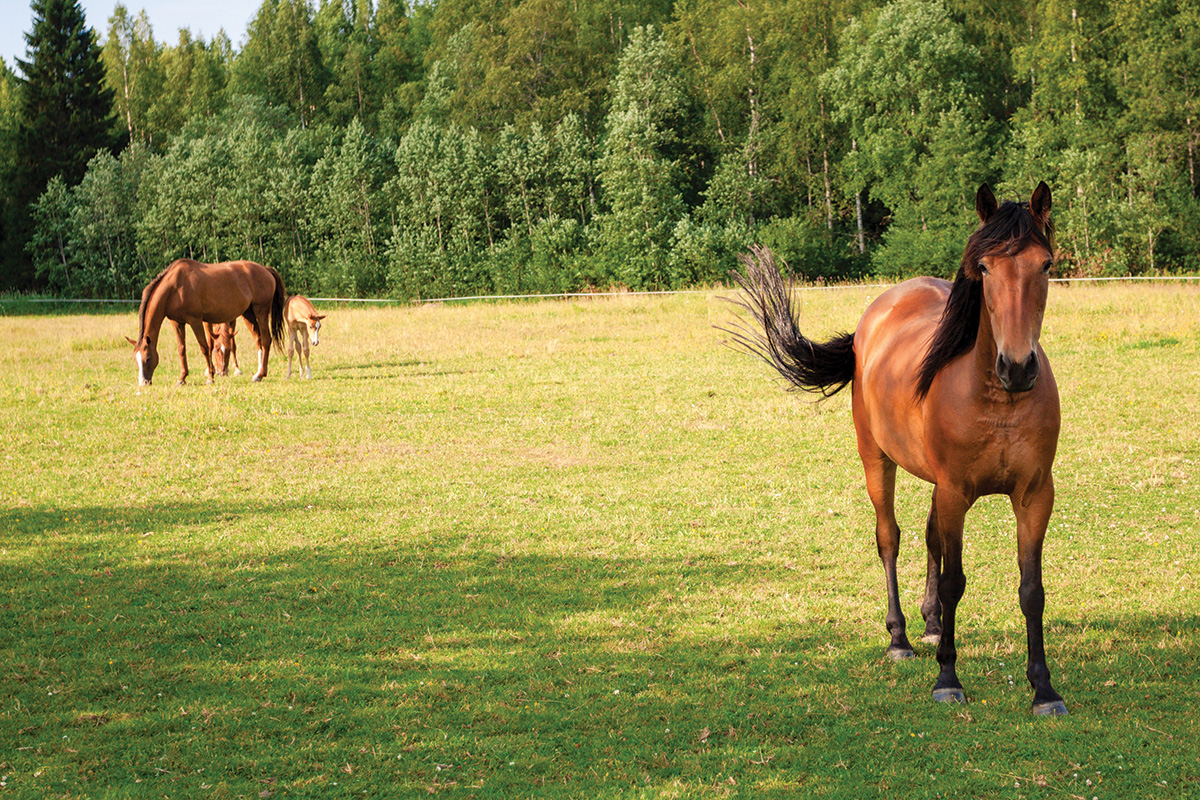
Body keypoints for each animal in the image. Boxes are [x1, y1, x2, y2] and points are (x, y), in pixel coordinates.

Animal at [128, 259, 285, 385]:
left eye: (148, 358)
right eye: (135, 360)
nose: (143, 382)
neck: (175, 287)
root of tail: (266, 269)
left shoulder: (195, 320)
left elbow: (204, 347)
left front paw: (210, 377)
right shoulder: (177, 322)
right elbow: (181, 349)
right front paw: (182, 378)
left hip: (261, 312)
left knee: (266, 340)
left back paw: (260, 375)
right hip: (249, 315)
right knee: (258, 340)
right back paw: (257, 373)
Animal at [727, 183, 1067, 715]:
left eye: (1046, 264)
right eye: (985, 267)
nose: (1017, 367)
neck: (999, 401)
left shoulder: (1034, 496)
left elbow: (1031, 589)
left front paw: (1044, 688)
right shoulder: (955, 492)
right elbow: (953, 582)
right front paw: (947, 677)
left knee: (930, 541)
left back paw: (929, 623)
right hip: (876, 459)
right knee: (890, 538)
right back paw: (901, 637)